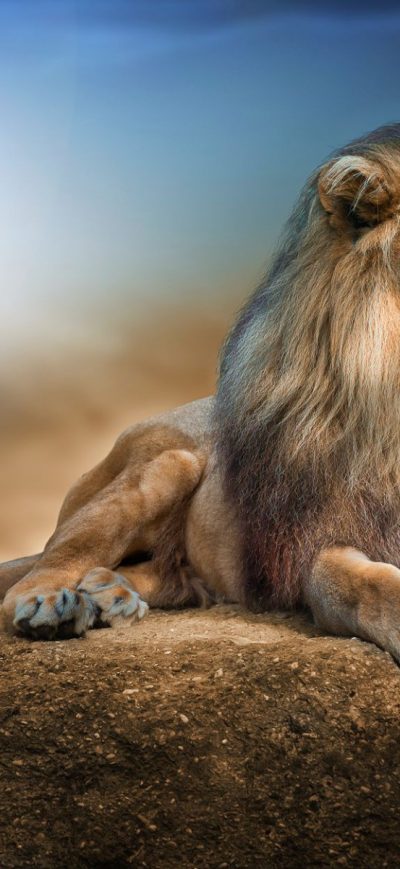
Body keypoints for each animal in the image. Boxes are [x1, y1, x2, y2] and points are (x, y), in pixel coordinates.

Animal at [2, 122, 400, 662]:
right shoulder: (312, 542)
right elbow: (359, 586)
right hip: (171, 463)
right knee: (32, 577)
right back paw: (57, 604)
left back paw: (110, 594)